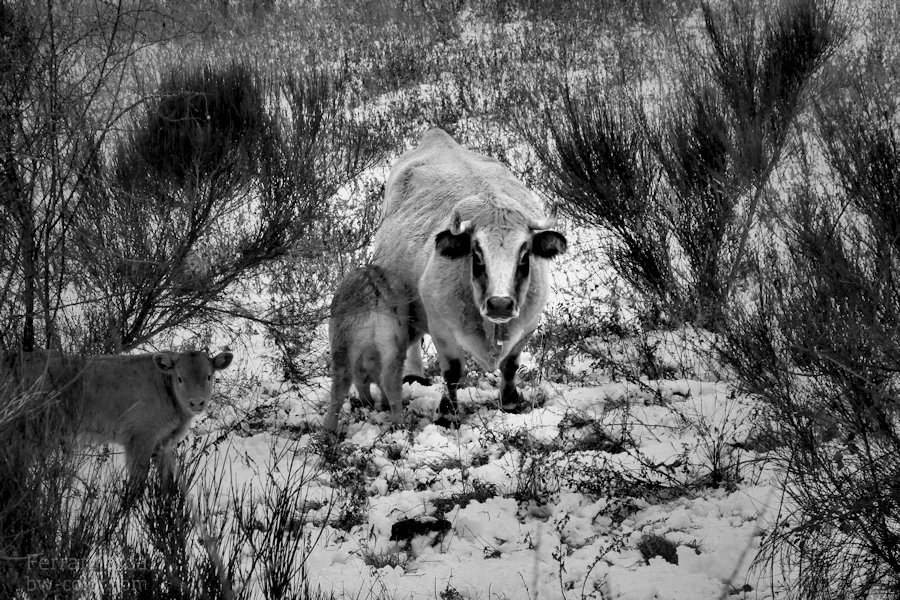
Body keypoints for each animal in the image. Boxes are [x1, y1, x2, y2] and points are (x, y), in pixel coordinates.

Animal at [1, 349, 233, 492]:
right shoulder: (139, 440)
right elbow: (136, 485)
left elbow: (168, 484)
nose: (196, 402)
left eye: (209, 376)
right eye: (180, 378)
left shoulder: (163, 444)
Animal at [325, 264, 414, 433]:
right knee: (390, 381)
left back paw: (328, 428)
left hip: (343, 342)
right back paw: (398, 421)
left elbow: (360, 379)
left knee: (341, 385)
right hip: (394, 346)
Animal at [372, 128, 567, 425]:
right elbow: (453, 372)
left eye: (525, 256)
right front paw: (447, 412)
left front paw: (510, 401)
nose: (500, 304)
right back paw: (413, 375)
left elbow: (511, 365)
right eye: (477, 256)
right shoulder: (442, 328)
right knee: (411, 338)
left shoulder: (528, 324)